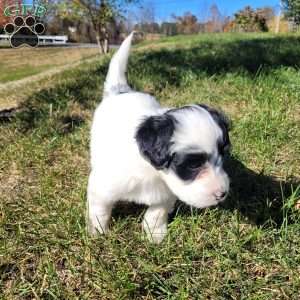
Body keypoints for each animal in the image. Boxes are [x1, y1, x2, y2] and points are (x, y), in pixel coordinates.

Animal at [88, 32, 231, 244]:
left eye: (223, 155)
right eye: (193, 164)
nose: (222, 193)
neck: (151, 172)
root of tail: (121, 91)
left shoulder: (166, 193)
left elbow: (157, 212)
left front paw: (154, 234)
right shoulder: (102, 187)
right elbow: (100, 209)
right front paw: (97, 232)